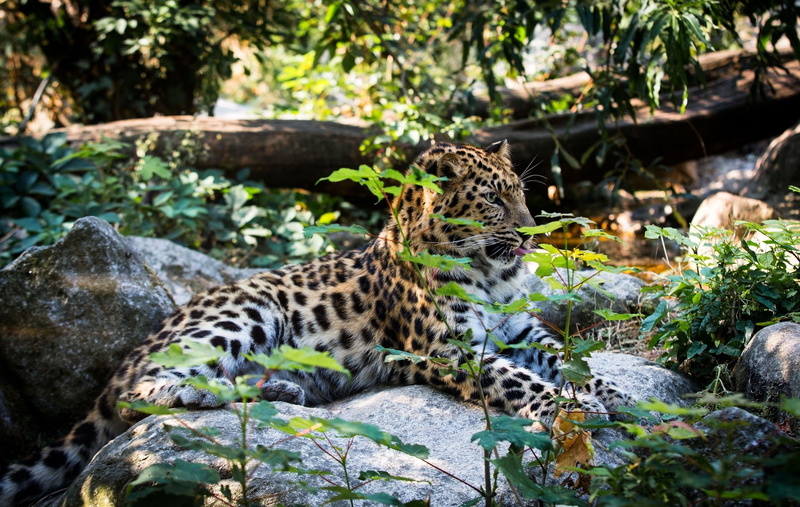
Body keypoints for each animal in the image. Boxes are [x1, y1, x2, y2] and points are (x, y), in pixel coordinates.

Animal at [0, 140, 629, 506]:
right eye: (494, 201)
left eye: (521, 194)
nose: (530, 235)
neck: (491, 271)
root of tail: (131, 351)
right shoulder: (444, 349)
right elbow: (517, 380)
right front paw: (571, 410)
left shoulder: (522, 333)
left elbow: (570, 359)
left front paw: (615, 396)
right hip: (245, 311)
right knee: (143, 394)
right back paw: (221, 391)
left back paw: (280, 388)